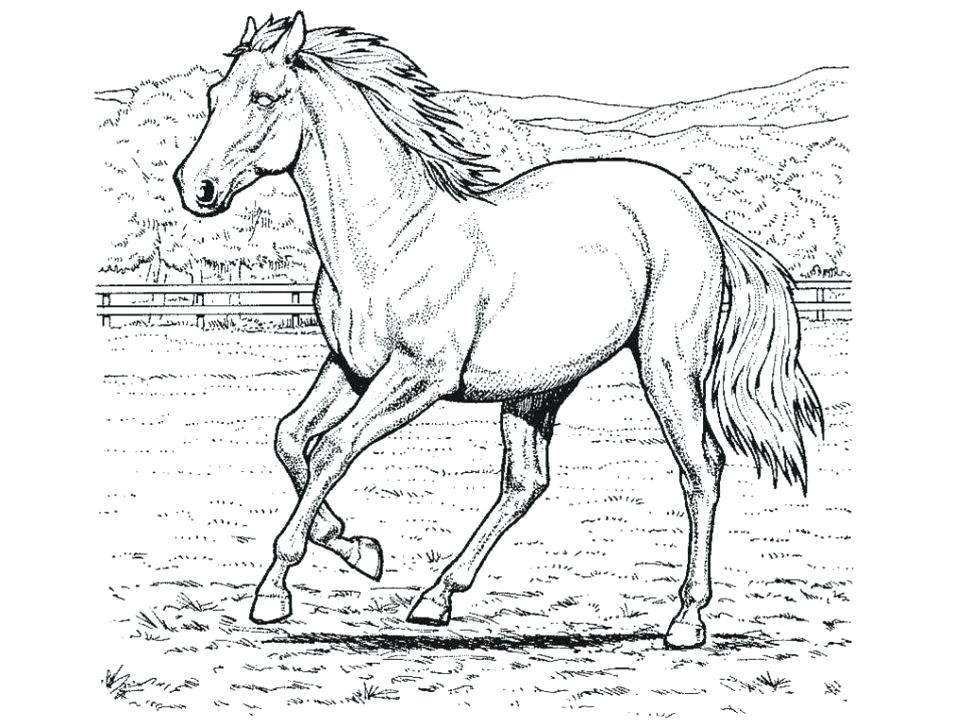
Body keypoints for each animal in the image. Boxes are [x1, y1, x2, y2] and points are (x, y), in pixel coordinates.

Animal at [174, 12, 822, 649]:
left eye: (264, 97)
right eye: (214, 95)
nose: (194, 187)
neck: (393, 240)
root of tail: (698, 212)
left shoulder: (418, 378)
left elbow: (332, 448)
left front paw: (275, 592)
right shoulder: (350, 368)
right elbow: (289, 438)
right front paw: (358, 548)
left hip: (667, 367)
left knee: (700, 470)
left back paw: (686, 620)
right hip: (538, 389)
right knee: (526, 482)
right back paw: (435, 599)